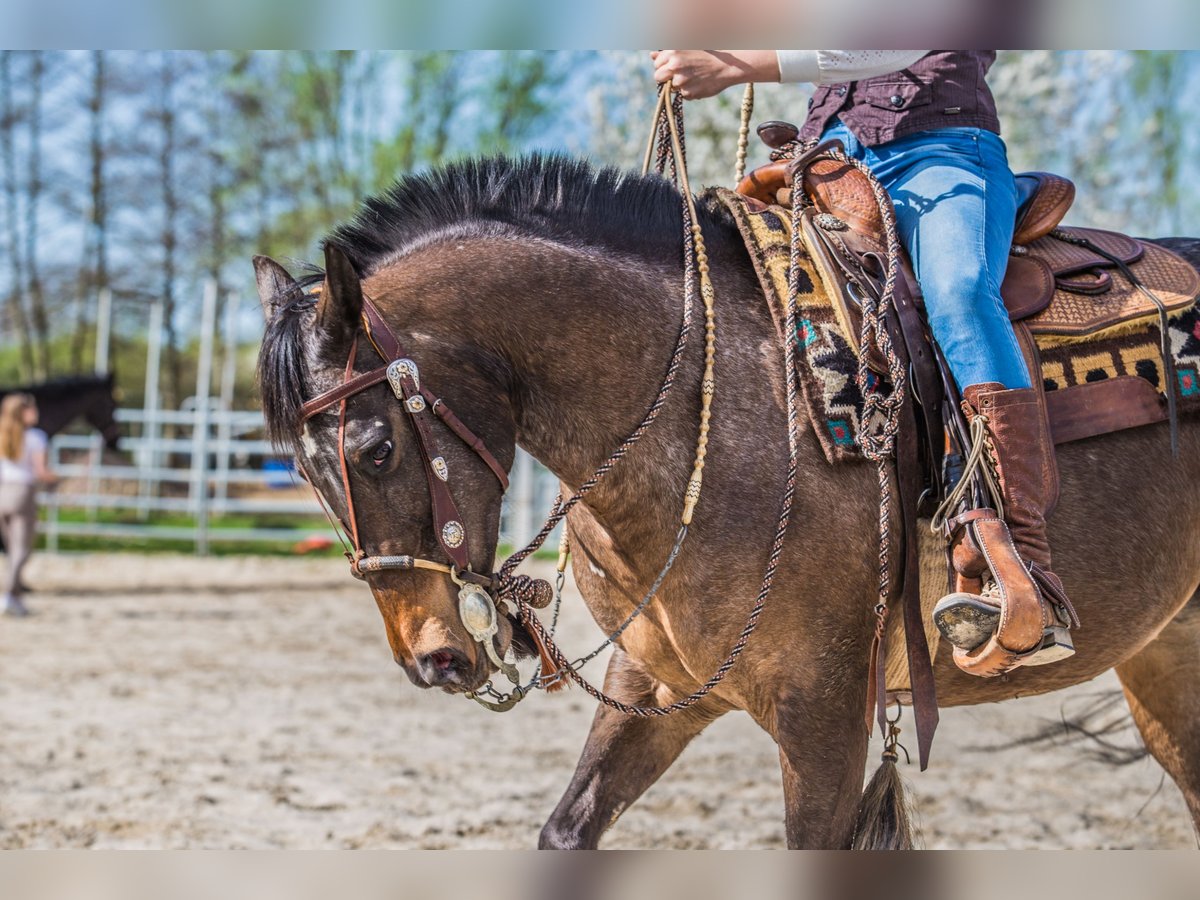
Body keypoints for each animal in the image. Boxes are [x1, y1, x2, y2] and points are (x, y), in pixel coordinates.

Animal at [255, 157, 1200, 854]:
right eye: (299, 468)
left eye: (375, 450)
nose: (434, 658)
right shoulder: (657, 687)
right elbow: (569, 828)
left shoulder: (824, 714)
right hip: (1166, 657)